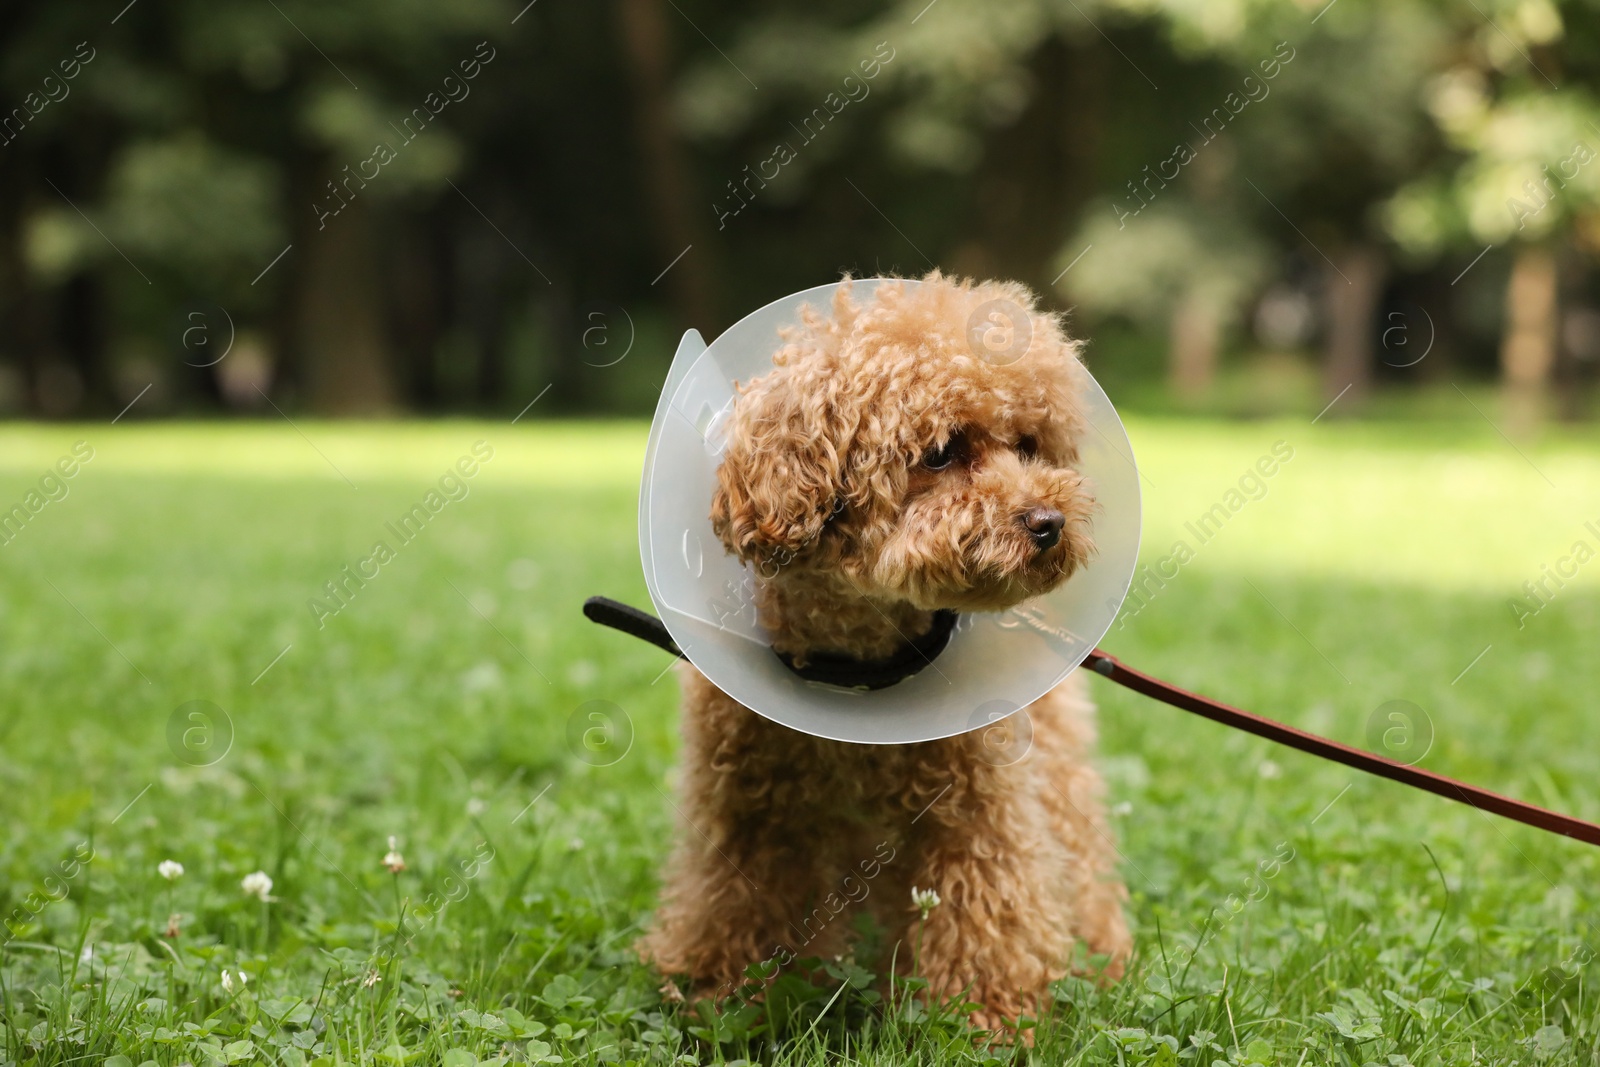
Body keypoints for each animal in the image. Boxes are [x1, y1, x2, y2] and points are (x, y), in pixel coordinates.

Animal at [630, 271, 1132, 1030]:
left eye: (1029, 443)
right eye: (943, 451)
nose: (1049, 522)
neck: (858, 676)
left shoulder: (974, 810)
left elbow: (988, 906)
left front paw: (984, 1019)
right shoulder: (756, 813)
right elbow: (740, 907)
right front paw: (724, 997)